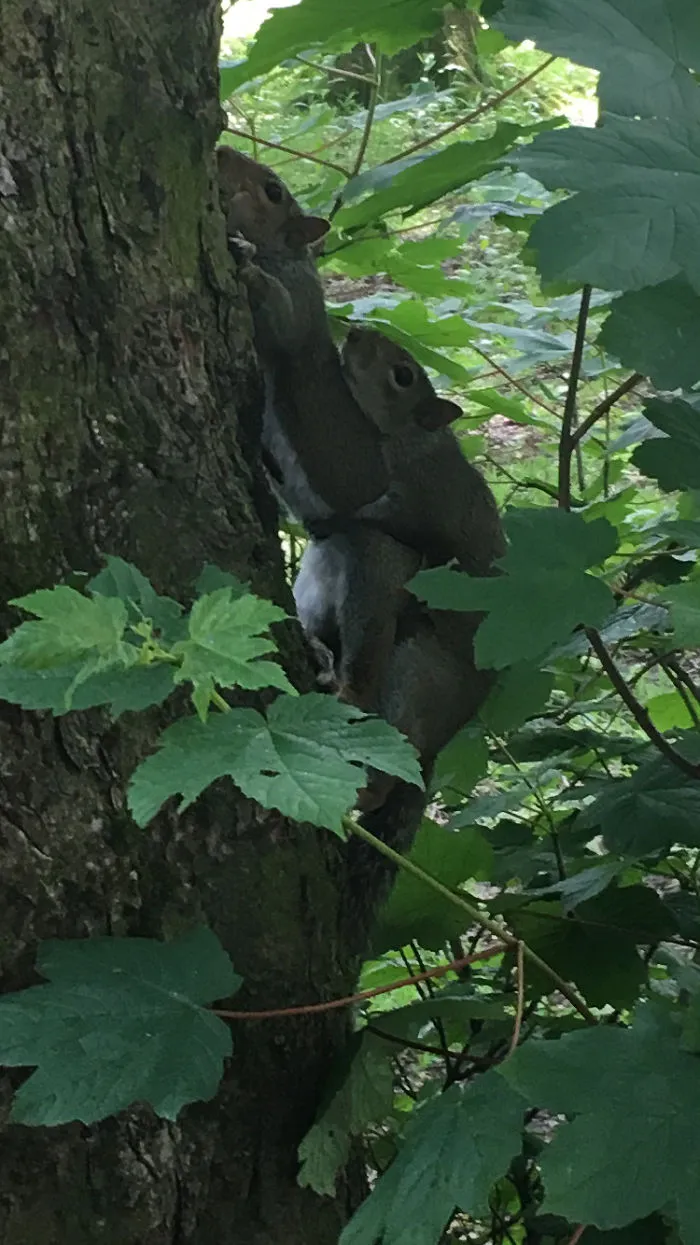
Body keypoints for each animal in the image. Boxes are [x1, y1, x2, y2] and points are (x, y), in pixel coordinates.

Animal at [215, 146, 390, 522]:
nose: (221, 150)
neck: (283, 254)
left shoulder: (299, 293)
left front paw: (247, 259)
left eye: (274, 192)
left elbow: (285, 330)